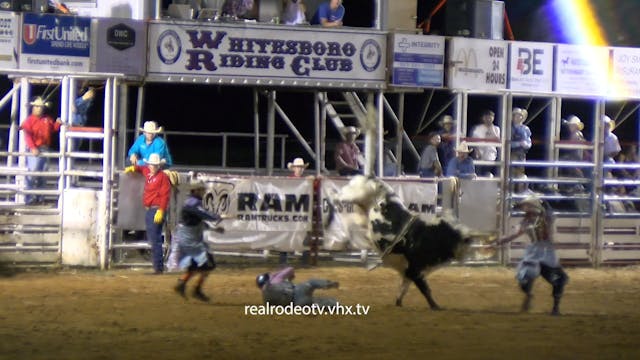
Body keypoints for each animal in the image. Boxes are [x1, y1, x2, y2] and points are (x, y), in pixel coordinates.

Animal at [336, 175, 476, 310]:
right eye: (456, 236)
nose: (470, 238)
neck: (429, 237)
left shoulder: (408, 272)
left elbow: (403, 288)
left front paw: (398, 303)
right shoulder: (415, 270)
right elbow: (425, 289)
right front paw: (435, 306)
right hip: (357, 193)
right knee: (347, 193)